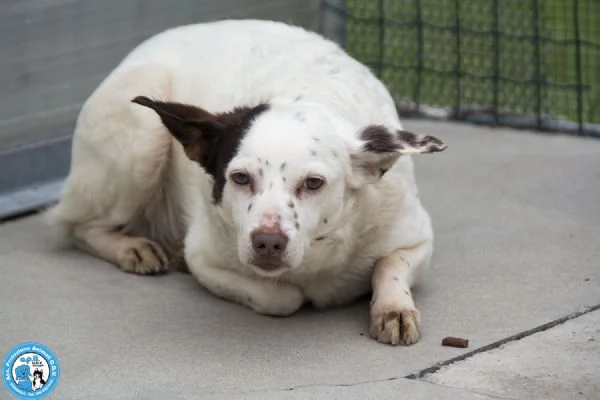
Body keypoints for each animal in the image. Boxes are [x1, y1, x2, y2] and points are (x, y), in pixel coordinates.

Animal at [47, 18, 446, 344]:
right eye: (240, 178)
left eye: (313, 183)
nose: (267, 242)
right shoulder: (204, 258)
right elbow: (282, 297)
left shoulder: (417, 239)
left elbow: (390, 266)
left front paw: (393, 308)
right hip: (141, 140)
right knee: (78, 226)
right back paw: (132, 247)